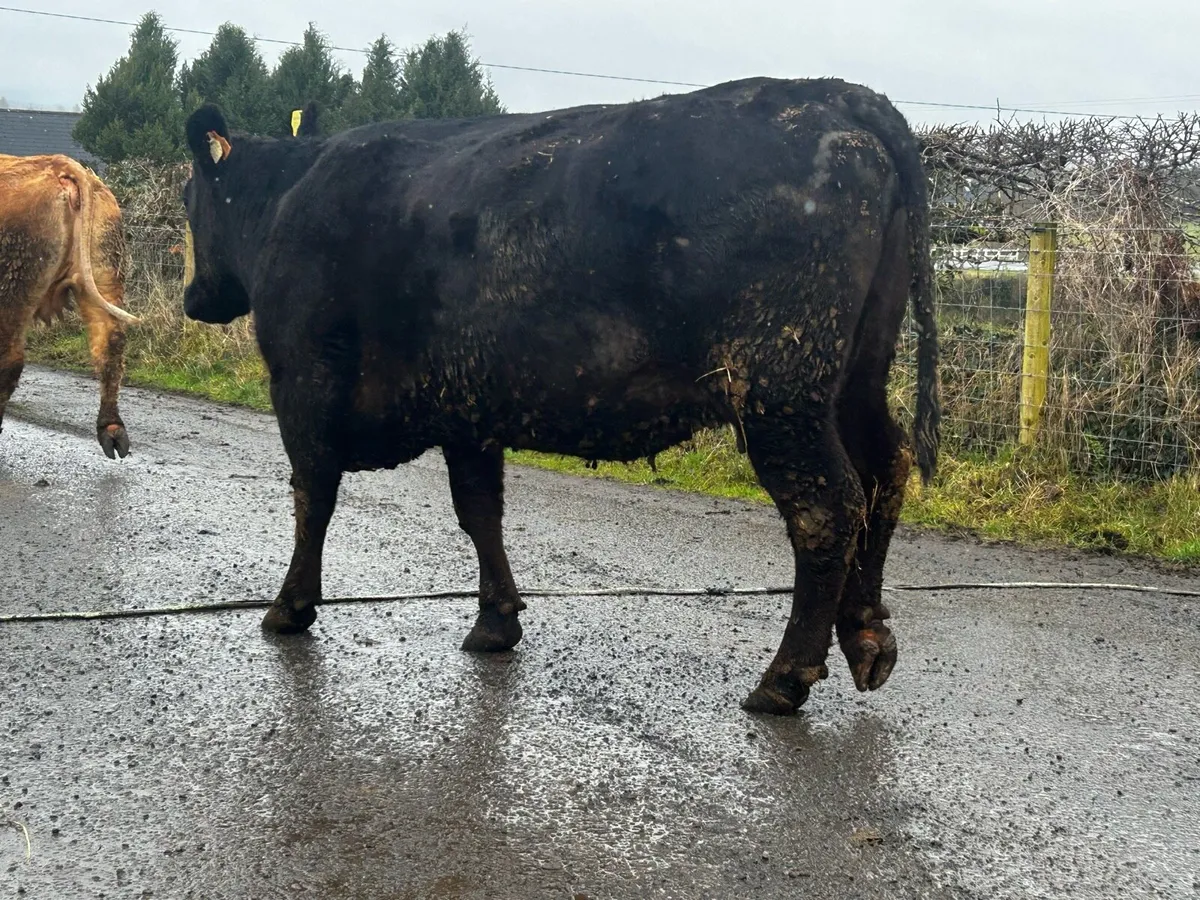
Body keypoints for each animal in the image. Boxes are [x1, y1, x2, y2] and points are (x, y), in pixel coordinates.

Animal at [0, 154, 138, 458]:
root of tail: (58, 164)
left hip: (12, 289)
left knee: (9, 361)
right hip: (104, 272)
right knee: (111, 344)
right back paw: (112, 430)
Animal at [181, 76, 940, 714]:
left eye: (191, 202)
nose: (194, 298)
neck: (289, 198)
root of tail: (832, 94)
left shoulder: (303, 385)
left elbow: (313, 499)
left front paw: (289, 608)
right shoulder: (468, 411)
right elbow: (479, 511)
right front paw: (495, 621)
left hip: (778, 388)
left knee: (827, 508)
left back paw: (784, 679)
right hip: (855, 378)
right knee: (885, 470)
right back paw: (867, 639)